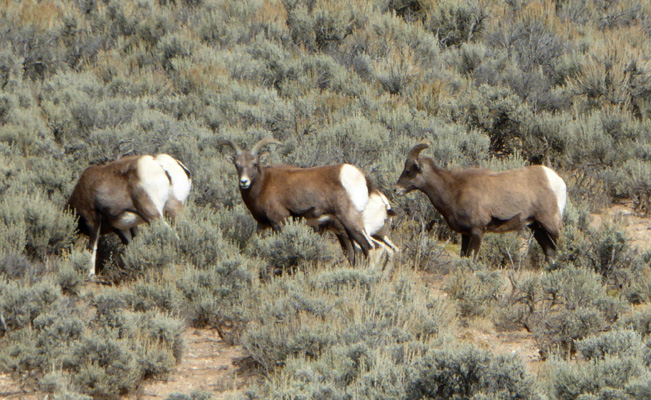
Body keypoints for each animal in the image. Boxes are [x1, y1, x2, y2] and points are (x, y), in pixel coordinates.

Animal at [223, 139, 382, 264]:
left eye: (255, 164)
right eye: (237, 165)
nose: (244, 182)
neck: (264, 184)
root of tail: (359, 176)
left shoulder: (280, 221)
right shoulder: (262, 225)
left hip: (351, 222)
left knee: (370, 247)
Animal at [394, 142, 568, 260]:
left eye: (409, 170)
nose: (396, 189)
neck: (454, 189)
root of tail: (556, 180)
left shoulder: (478, 231)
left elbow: (473, 259)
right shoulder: (465, 234)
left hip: (550, 224)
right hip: (536, 227)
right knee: (550, 252)